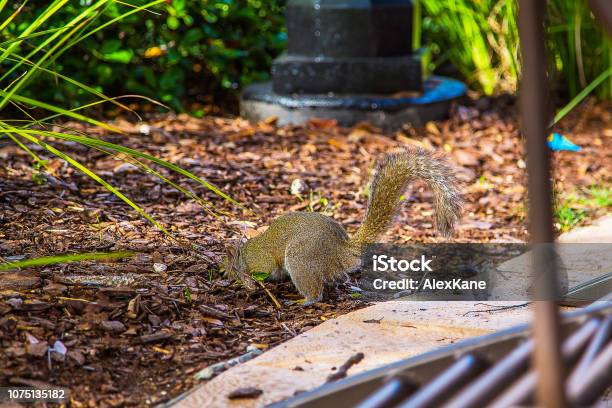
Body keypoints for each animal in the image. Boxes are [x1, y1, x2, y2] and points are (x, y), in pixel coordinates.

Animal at [226, 148, 464, 304]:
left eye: (229, 266)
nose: (227, 279)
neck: (246, 251)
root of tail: (342, 248)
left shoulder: (261, 259)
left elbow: (265, 268)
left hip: (301, 258)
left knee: (315, 292)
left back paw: (303, 300)